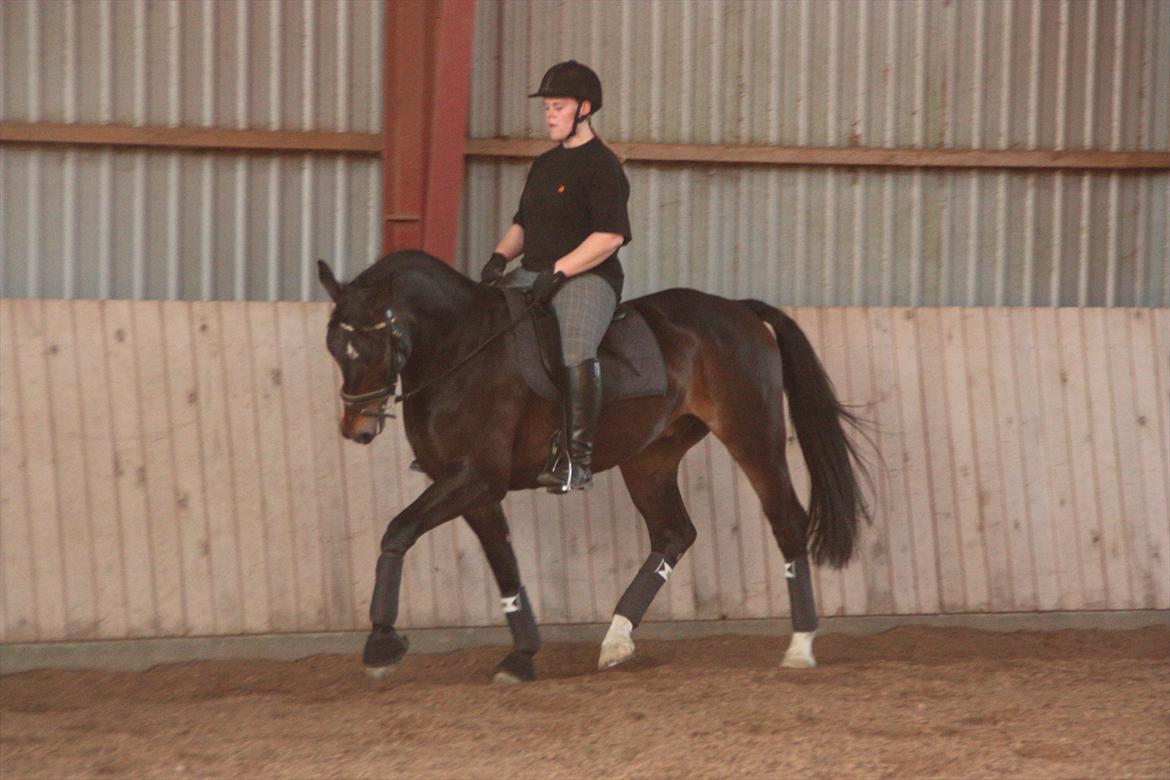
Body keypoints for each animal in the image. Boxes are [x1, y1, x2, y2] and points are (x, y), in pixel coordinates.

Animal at [318, 251, 870, 682]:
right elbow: (504, 566)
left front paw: (381, 645)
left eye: (372, 345)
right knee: (674, 533)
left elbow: (398, 530)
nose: (356, 429)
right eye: (334, 348)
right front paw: (521, 657)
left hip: (753, 437)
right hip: (650, 457)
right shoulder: (473, 487)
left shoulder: (475, 476)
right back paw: (616, 640)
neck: (462, 348)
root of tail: (739, 310)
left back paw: (799, 647)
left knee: (787, 520)